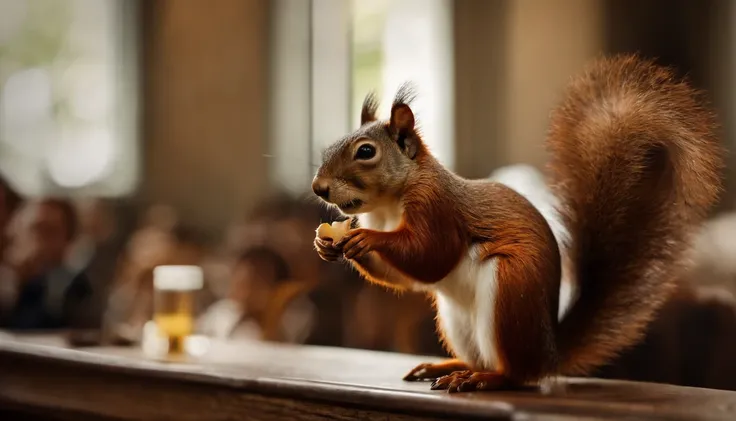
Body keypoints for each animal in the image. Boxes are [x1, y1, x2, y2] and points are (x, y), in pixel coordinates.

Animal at [310, 54, 724, 392]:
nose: (318, 187)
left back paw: (482, 379)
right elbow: (408, 278)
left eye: (366, 152)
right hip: (456, 318)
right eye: (329, 147)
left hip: (510, 289)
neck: (387, 207)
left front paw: (366, 239)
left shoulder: (437, 208)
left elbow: (432, 256)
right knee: (484, 357)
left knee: (517, 373)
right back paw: (446, 367)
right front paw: (328, 245)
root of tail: (549, 353)